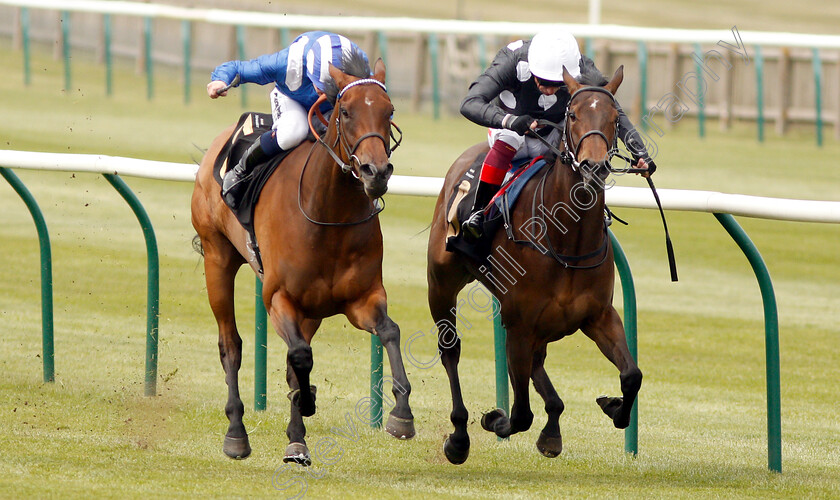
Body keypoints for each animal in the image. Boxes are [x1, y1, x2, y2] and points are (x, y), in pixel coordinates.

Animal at [189, 52, 414, 462]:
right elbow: (299, 356)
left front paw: (401, 413)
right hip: (218, 258)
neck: (329, 214)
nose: (376, 172)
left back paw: (296, 439)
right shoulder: (279, 297)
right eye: (346, 112)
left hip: (311, 309)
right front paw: (307, 403)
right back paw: (236, 433)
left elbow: (389, 331)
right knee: (231, 346)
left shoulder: (361, 298)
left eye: (388, 110)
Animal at [430, 66, 640, 464]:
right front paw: (494, 419)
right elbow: (520, 414)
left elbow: (631, 374)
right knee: (451, 350)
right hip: (442, 284)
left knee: (539, 366)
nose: (593, 165)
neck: (567, 240)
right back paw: (459, 436)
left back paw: (553, 426)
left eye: (615, 119)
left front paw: (613, 407)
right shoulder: (519, 325)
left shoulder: (598, 316)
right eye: (573, 116)